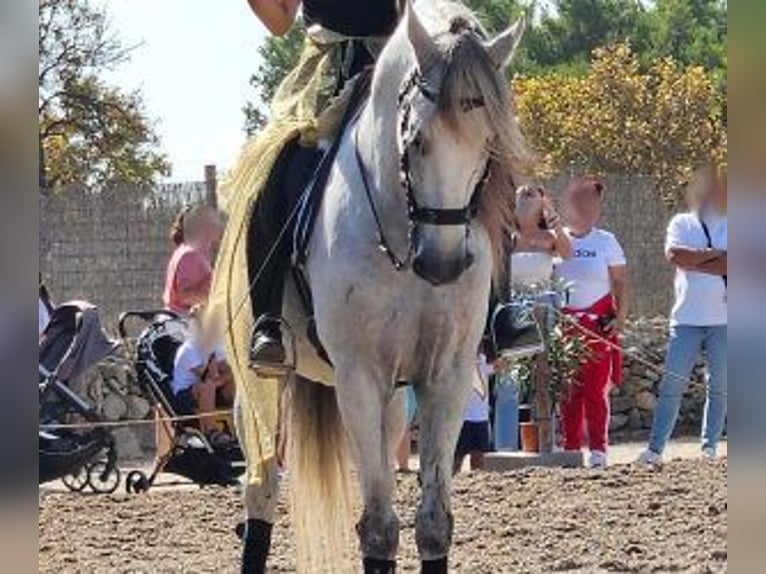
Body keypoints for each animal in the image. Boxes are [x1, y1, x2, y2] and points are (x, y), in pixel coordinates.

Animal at [246, 2, 536, 572]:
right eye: (418, 139)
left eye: (488, 145)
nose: (444, 264)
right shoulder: (359, 375)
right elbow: (379, 529)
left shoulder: (445, 376)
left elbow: (433, 522)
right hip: (269, 388)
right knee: (262, 491)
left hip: (394, 400)